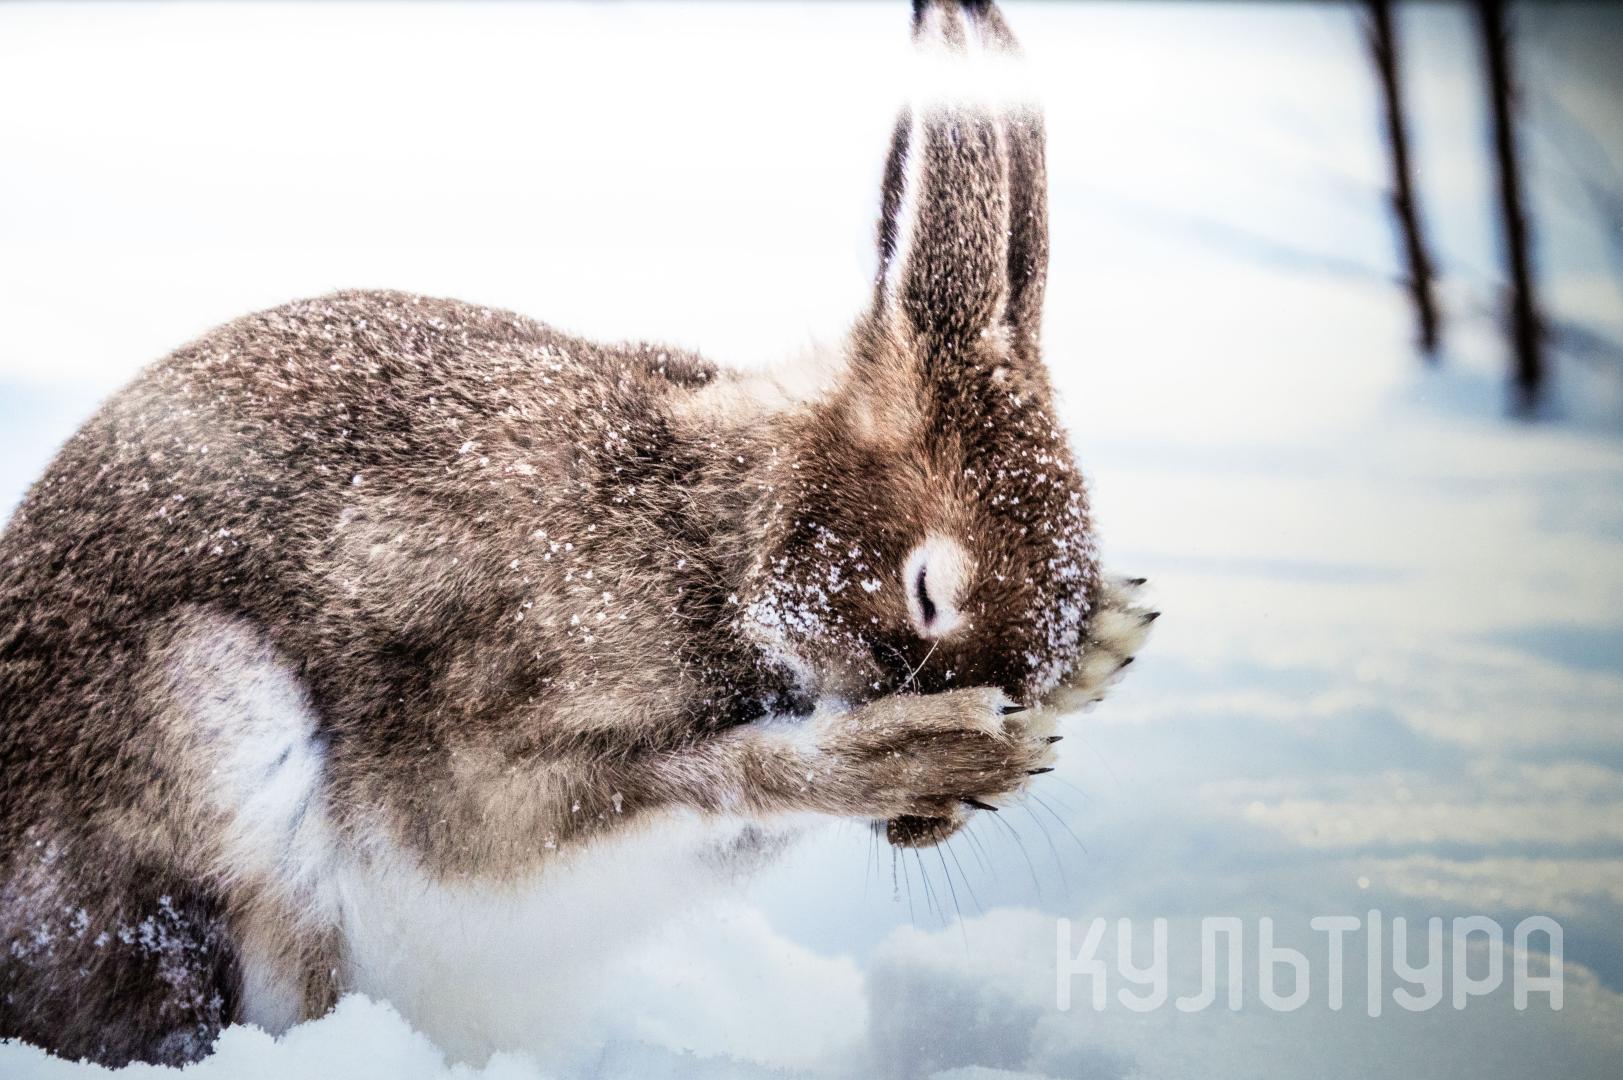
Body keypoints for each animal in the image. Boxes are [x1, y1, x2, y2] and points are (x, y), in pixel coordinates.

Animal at [0, 0, 1153, 1067]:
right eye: (927, 591)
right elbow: (707, 782)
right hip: (209, 722)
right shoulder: (496, 744)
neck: (720, 532)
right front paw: (934, 749)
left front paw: (1106, 649)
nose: (930, 829)